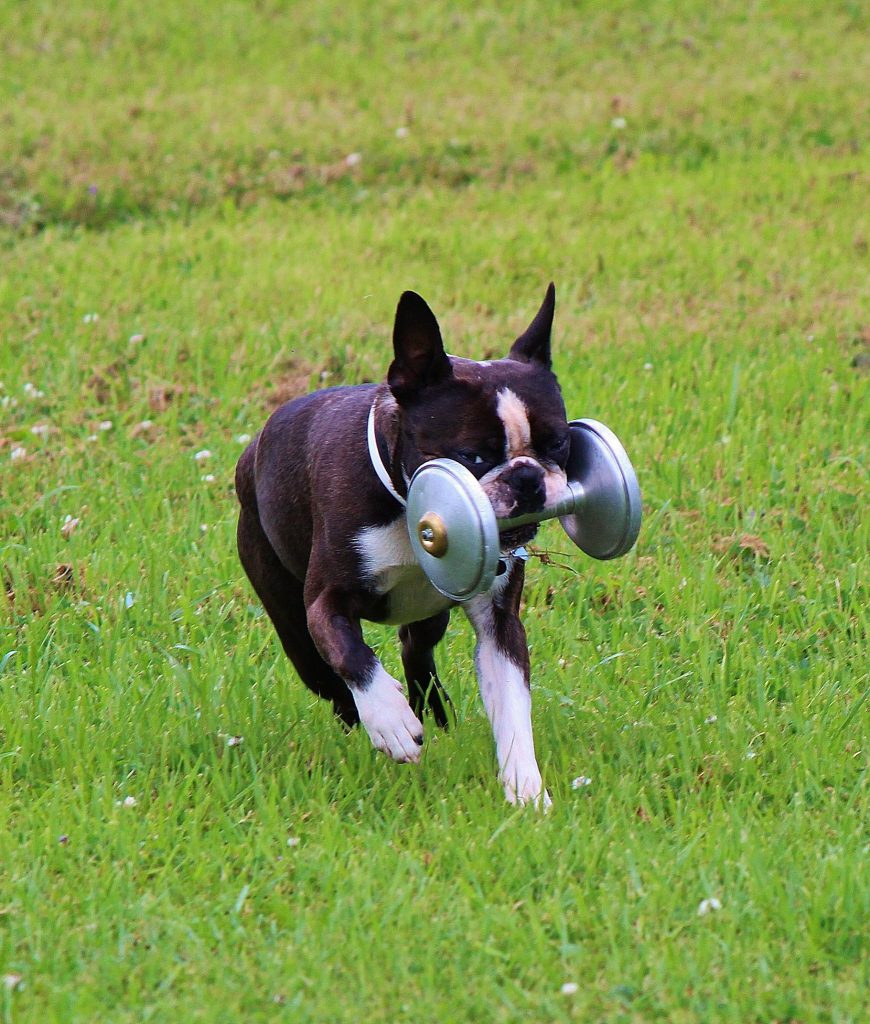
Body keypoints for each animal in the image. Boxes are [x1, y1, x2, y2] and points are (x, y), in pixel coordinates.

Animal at [234, 284, 564, 802]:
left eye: (559, 445)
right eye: (471, 456)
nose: (527, 478)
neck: (415, 512)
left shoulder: (500, 624)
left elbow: (513, 704)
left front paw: (526, 792)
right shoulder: (324, 602)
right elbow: (353, 656)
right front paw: (389, 722)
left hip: (430, 612)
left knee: (415, 647)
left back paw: (434, 709)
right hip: (287, 614)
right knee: (326, 676)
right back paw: (363, 718)